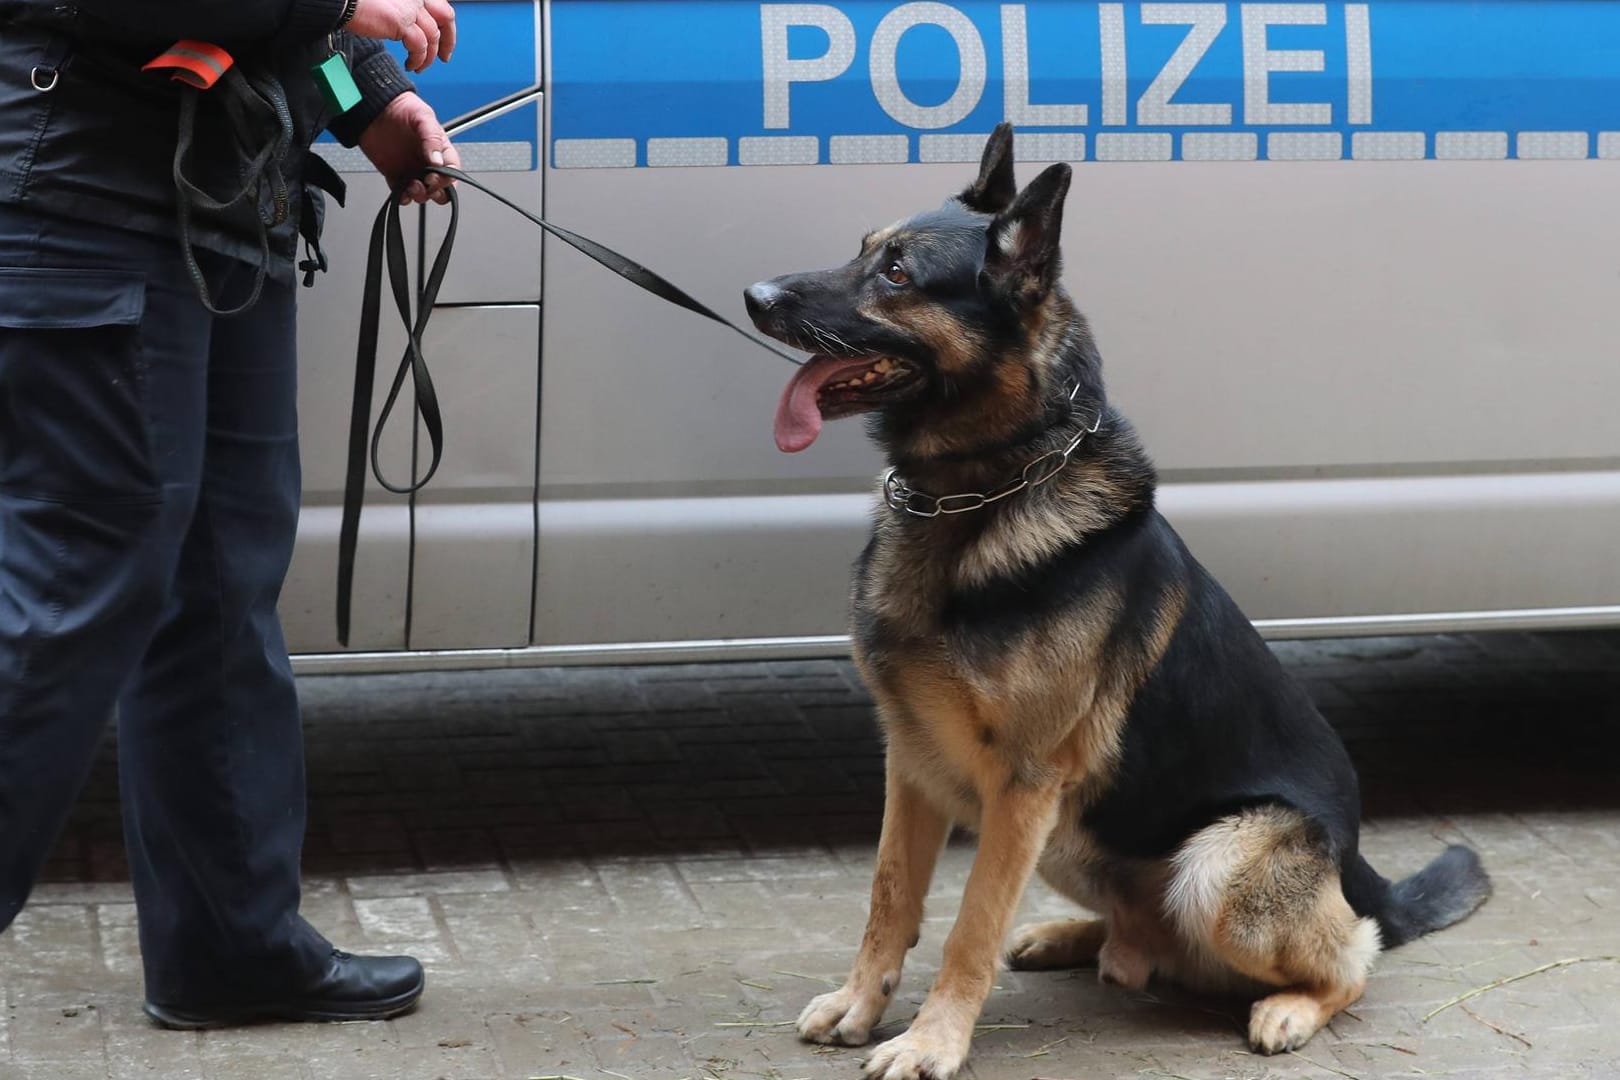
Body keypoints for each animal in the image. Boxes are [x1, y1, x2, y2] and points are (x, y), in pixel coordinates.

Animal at [741, 122, 1483, 1075]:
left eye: (898, 273)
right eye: (862, 250)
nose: (753, 297)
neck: (982, 492)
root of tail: (1363, 874)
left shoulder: (1021, 784)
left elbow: (968, 928)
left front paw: (933, 1040)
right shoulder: (912, 763)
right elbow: (890, 898)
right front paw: (862, 1004)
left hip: (1210, 861)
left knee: (1354, 955)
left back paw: (1288, 1006)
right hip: (1075, 831)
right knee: (1145, 940)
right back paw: (1071, 936)